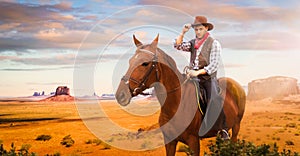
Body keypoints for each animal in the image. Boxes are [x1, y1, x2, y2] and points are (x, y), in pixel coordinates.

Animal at [115, 34, 246, 155]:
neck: (176, 104)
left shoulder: (194, 142)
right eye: (130, 61)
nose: (120, 95)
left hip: (236, 127)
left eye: (145, 63)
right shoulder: (169, 142)